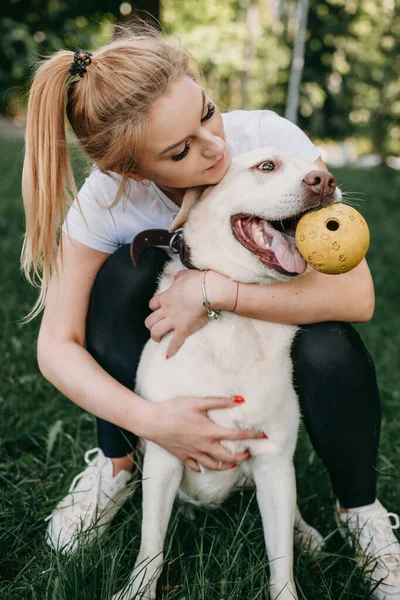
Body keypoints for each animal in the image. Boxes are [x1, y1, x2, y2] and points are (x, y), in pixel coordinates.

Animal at [111, 148, 340, 600]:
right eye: (267, 166)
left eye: (320, 166)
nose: (325, 181)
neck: (235, 321)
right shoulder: (165, 452)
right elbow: (151, 545)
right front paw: (137, 591)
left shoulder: (272, 460)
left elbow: (281, 558)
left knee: (292, 514)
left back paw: (306, 533)